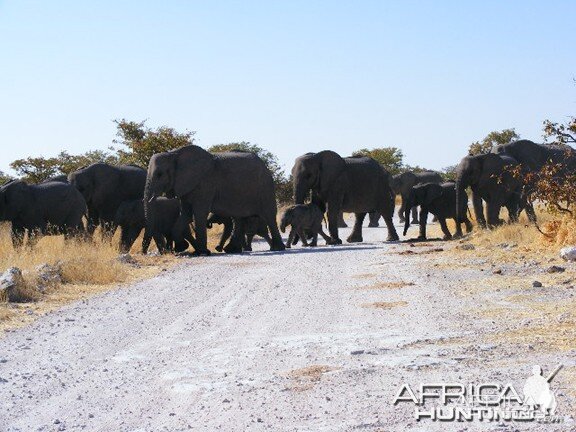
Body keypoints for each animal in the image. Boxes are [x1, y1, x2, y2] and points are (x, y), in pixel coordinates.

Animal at [143, 145, 284, 255]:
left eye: (160, 174)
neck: (174, 154)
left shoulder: (205, 184)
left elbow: (199, 213)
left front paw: (202, 253)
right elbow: (186, 214)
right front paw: (181, 248)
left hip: (265, 187)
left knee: (269, 215)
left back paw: (277, 248)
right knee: (238, 218)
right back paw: (232, 250)